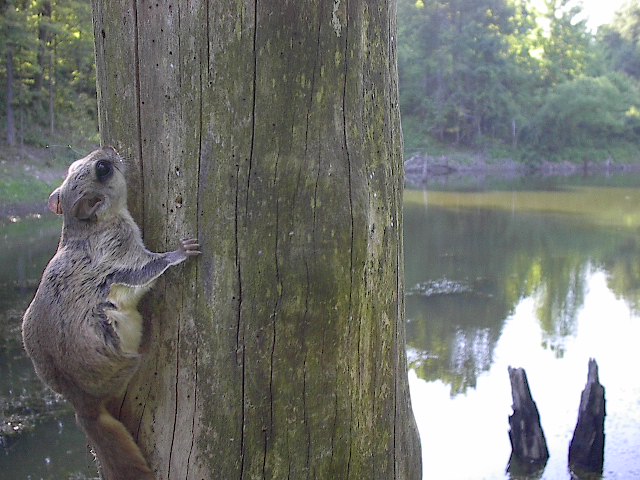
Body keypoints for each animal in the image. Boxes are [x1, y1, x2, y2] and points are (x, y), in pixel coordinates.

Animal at [22, 146, 199, 480]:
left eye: (75, 166)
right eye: (102, 168)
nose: (108, 150)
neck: (88, 225)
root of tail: (81, 402)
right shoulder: (120, 252)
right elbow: (146, 270)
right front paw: (180, 252)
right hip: (116, 332)